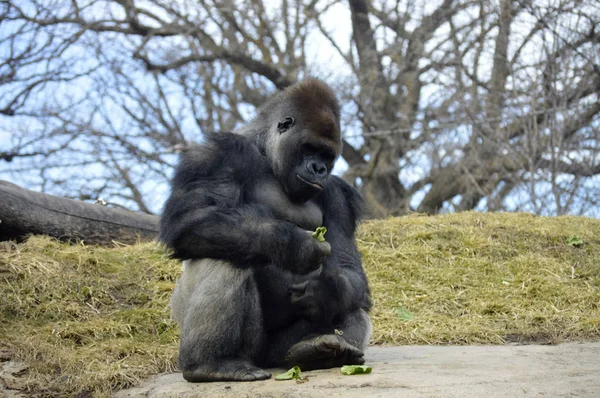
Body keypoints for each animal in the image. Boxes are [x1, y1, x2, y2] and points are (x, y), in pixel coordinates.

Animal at [162, 78, 372, 382]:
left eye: (327, 155)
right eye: (309, 148)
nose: (319, 168)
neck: (266, 153)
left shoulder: (337, 195)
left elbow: (347, 270)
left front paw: (325, 291)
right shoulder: (220, 154)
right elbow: (190, 218)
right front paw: (294, 245)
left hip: (277, 352)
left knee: (352, 305)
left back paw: (318, 351)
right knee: (224, 252)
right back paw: (209, 364)